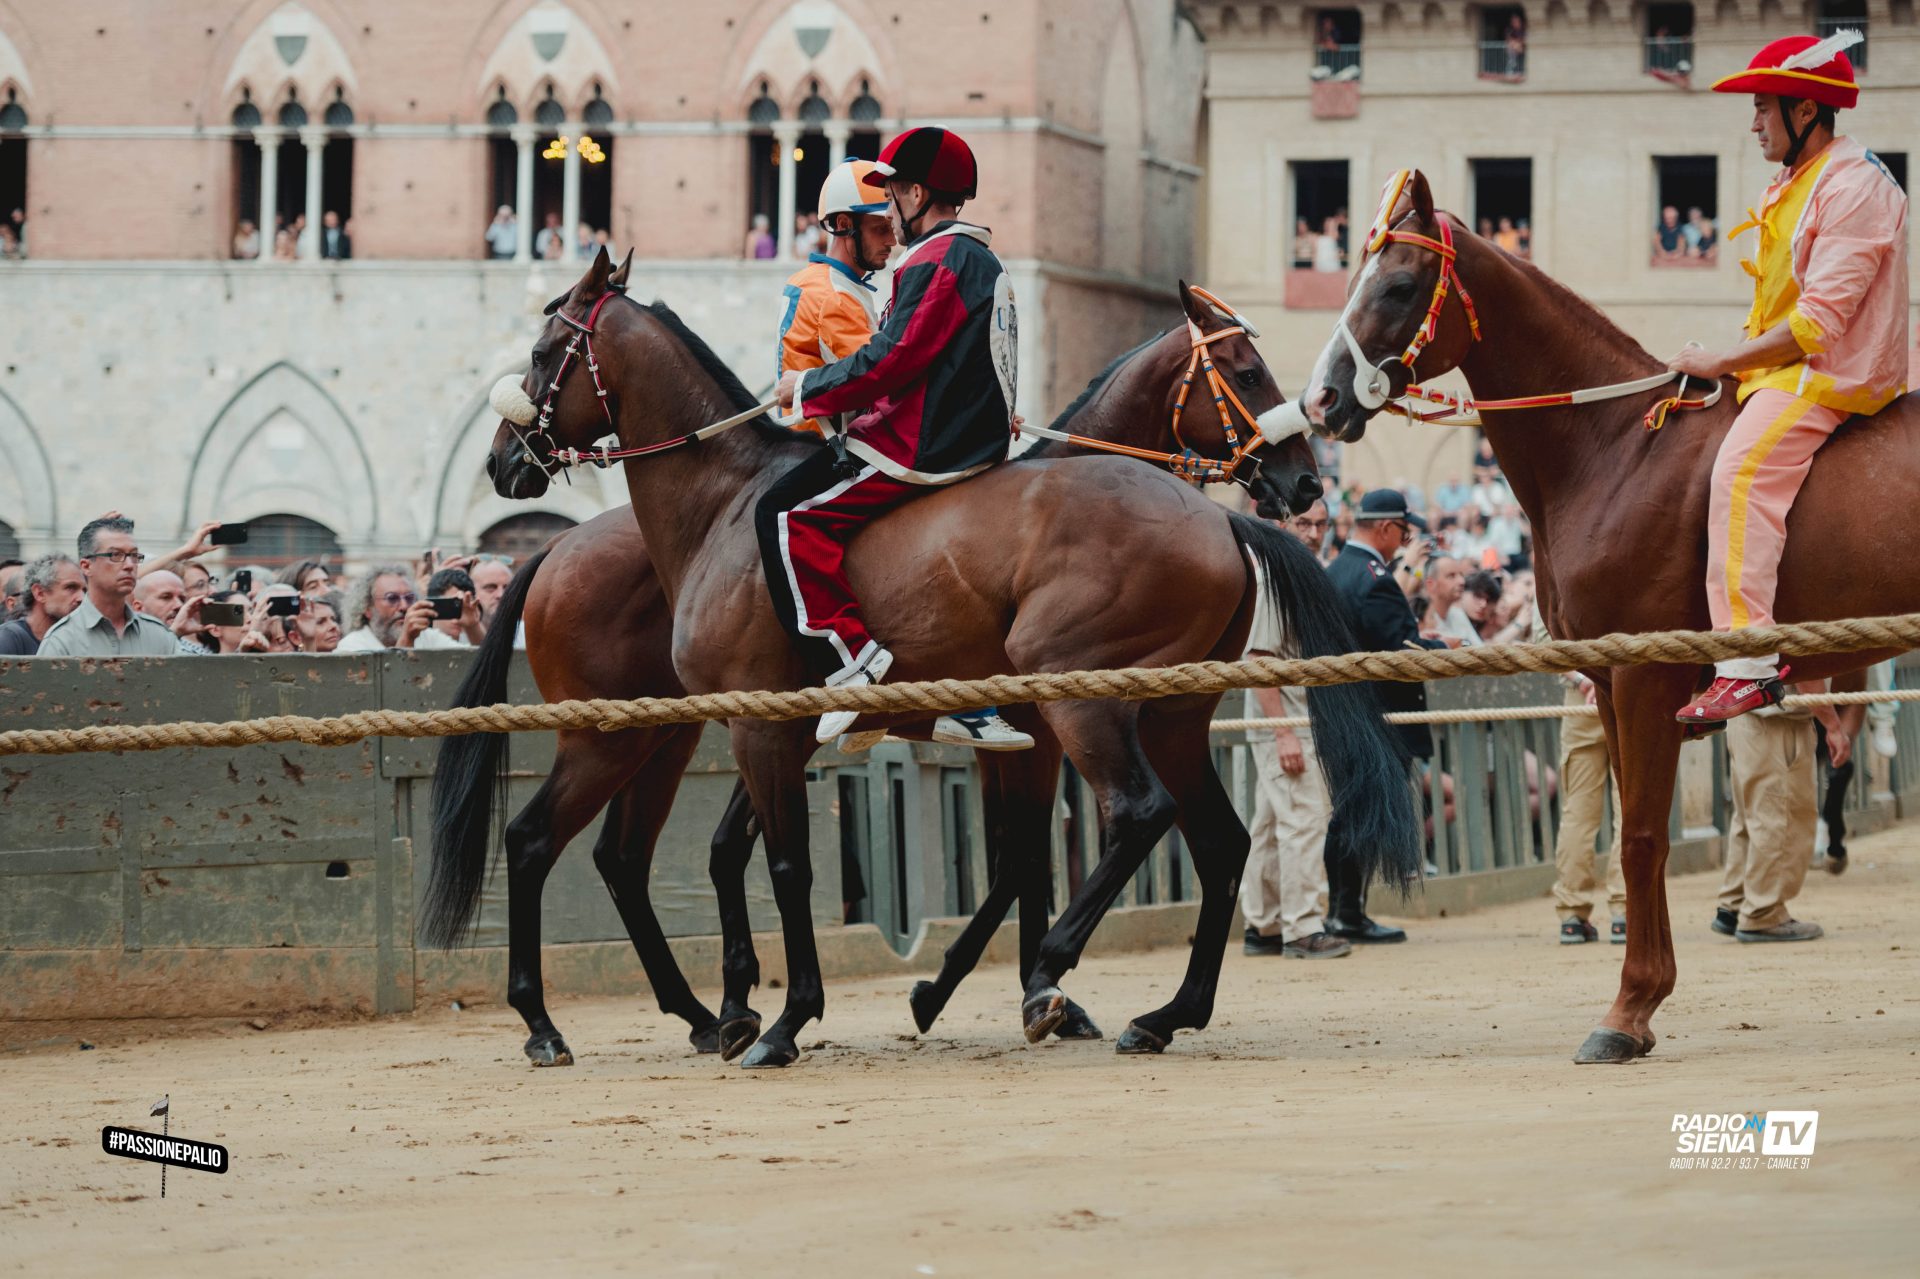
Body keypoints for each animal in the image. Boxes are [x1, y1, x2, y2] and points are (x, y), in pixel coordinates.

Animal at [436, 247, 1420, 1069]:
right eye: (1246, 370)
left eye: (542, 351)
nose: (504, 461)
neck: (728, 499)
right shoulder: (792, 733)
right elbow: (826, 862)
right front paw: (824, 1004)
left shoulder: (795, 732)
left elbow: (816, 865)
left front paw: (800, 1015)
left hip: (1084, 702)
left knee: (1154, 819)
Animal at [1295, 168, 1918, 1063]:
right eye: (1352, 278)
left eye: (1402, 285)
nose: (1321, 399)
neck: (1618, 449)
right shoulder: (1612, 683)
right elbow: (1631, 837)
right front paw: (1644, 998)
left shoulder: (1643, 676)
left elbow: (1641, 838)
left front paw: (1627, 1010)